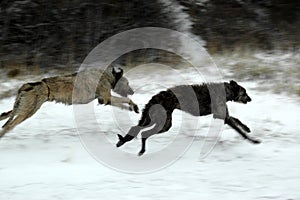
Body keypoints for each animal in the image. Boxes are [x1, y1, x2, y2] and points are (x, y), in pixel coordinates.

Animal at [116, 80, 258, 155]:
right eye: (244, 92)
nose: (251, 99)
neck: (225, 91)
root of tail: (156, 96)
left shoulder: (223, 116)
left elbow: (237, 121)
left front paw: (247, 128)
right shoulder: (223, 117)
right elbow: (239, 130)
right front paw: (253, 140)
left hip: (156, 119)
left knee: (137, 128)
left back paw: (124, 142)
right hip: (163, 122)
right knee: (143, 132)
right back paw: (140, 149)